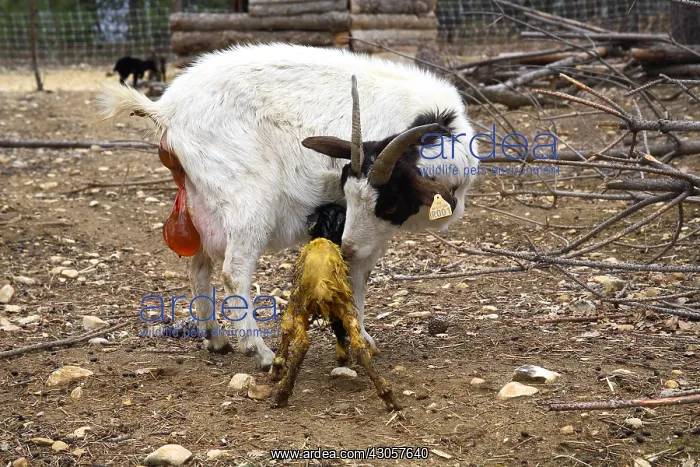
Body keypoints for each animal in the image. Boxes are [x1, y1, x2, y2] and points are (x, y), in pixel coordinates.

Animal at [99, 44, 478, 370]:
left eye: (389, 204)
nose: (348, 247)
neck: (432, 122)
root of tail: (167, 111)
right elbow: (357, 275)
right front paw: (362, 339)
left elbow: (362, 273)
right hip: (246, 200)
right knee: (233, 271)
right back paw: (261, 352)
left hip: (201, 202)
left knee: (198, 267)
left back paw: (216, 339)